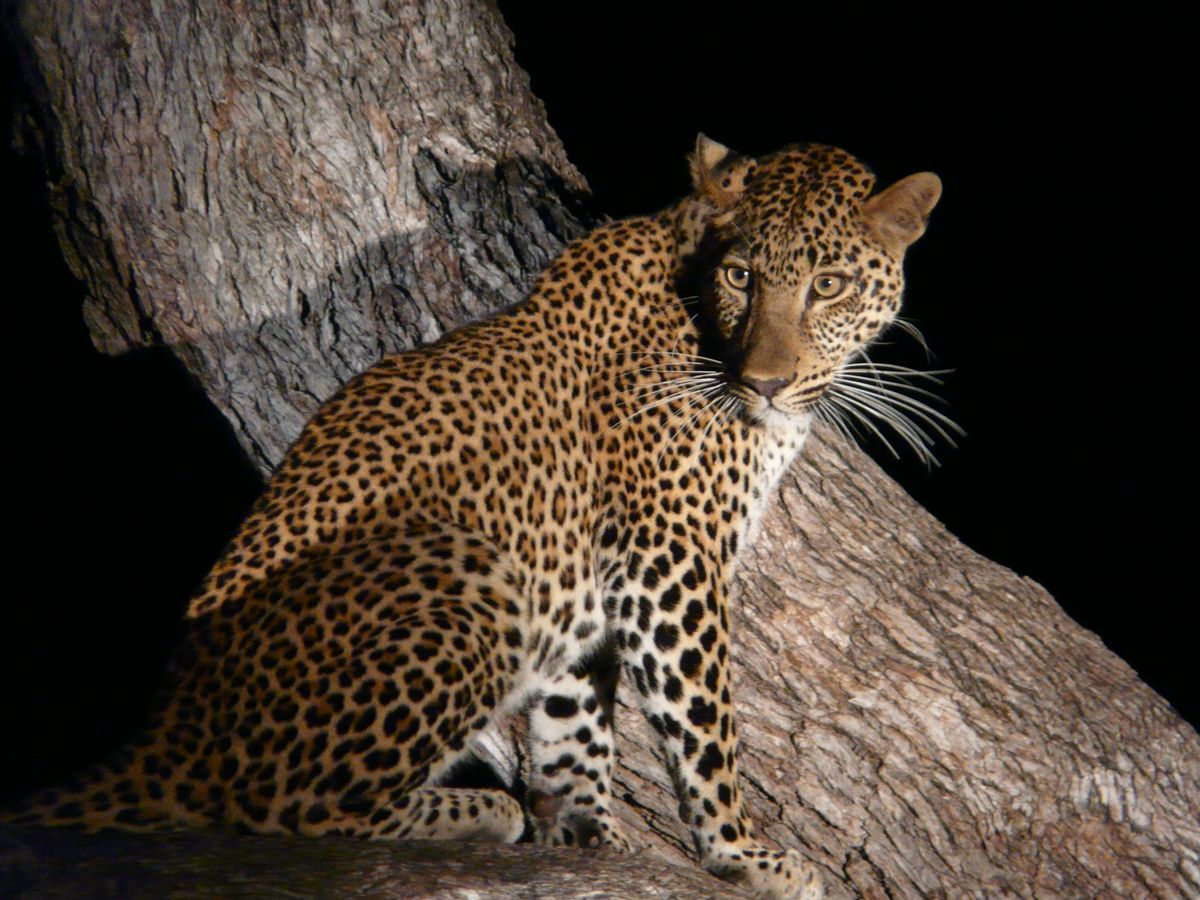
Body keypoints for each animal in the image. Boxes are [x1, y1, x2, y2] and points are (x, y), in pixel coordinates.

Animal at [4, 135, 940, 899]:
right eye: (745, 277)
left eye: (829, 286)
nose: (768, 383)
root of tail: (166, 728)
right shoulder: (668, 562)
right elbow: (705, 724)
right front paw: (746, 856)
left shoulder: (596, 586)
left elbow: (577, 725)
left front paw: (588, 838)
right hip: (465, 570)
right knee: (280, 811)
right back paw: (480, 813)